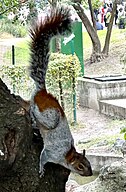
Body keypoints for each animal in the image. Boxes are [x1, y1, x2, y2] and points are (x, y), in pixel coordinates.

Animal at [28, 5, 92, 177]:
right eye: (80, 167)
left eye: (89, 163)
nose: (90, 173)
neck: (67, 155)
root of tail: (43, 92)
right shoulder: (52, 153)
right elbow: (43, 157)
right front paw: (41, 169)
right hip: (50, 117)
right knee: (38, 113)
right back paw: (33, 113)